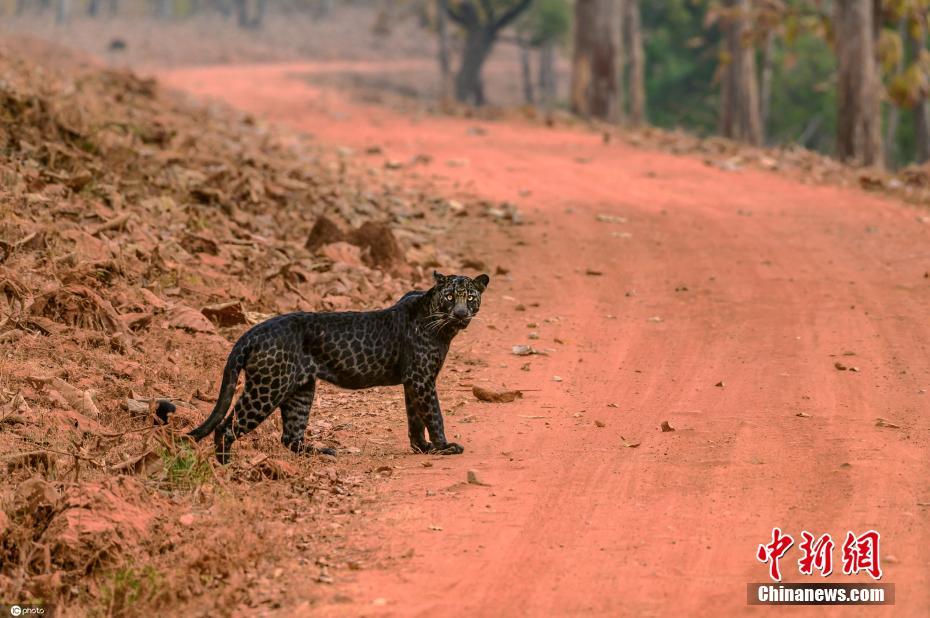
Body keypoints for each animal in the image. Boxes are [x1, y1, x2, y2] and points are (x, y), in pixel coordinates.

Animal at [189, 270, 492, 462]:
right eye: (450, 297)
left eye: (470, 297)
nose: (461, 313)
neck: (443, 326)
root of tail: (253, 332)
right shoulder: (421, 379)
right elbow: (434, 414)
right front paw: (444, 446)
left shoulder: (413, 382)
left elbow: (415, 418)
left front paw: (423, 448)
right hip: (267, 388)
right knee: (226, 427)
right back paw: (227, 466)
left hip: (301, 390)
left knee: (290, 437)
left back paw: (323, 452)